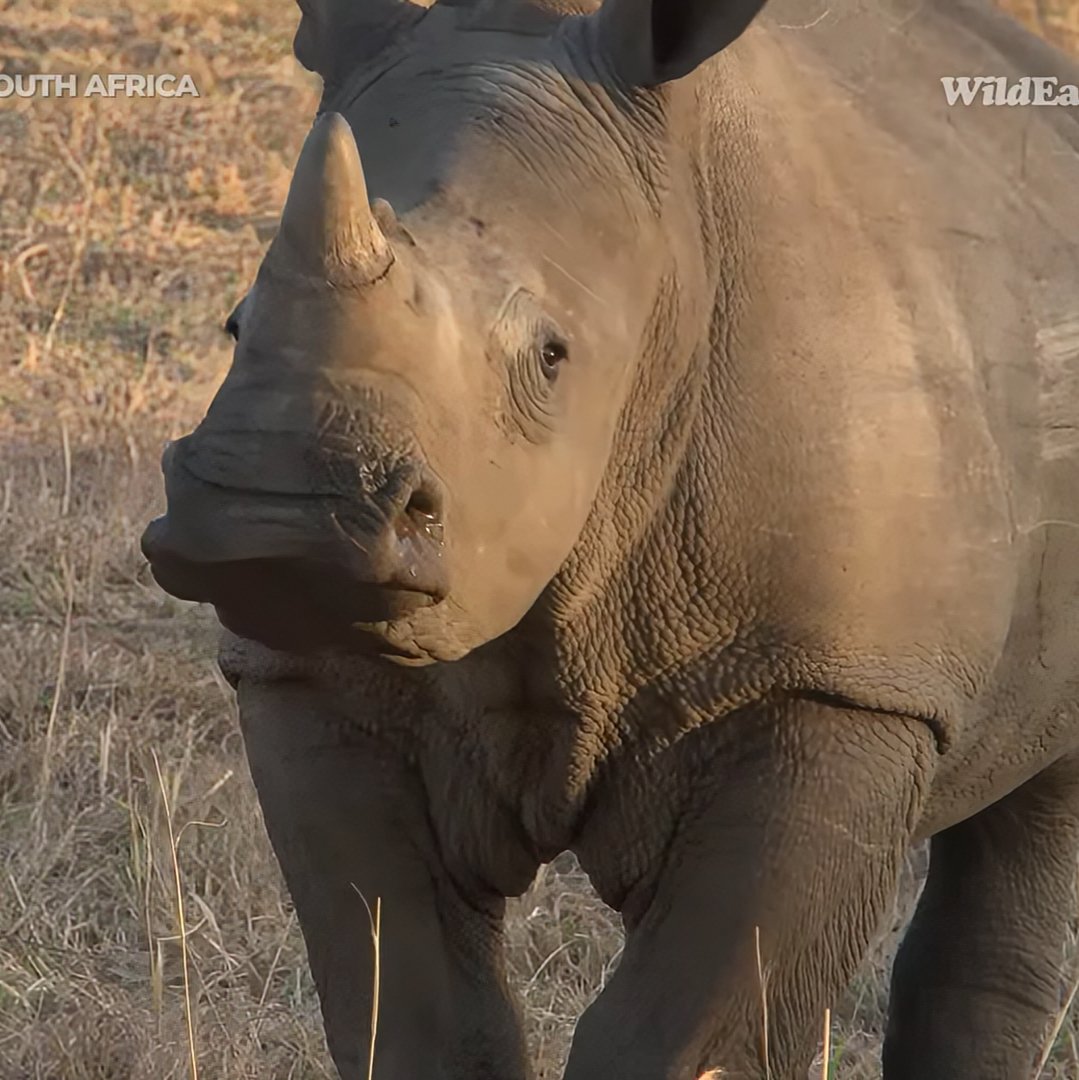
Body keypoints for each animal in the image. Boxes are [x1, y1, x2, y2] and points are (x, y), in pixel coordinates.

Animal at [140, 0, 1079, 1076]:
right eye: (235, 323)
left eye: (552, 357)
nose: (273, 510)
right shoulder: (310, 672)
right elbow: (407, 1006)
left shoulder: (837, 683)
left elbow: (688, 1028)